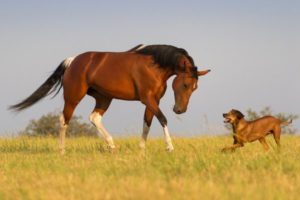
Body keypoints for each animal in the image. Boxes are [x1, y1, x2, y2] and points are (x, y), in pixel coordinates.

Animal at [9, 44, 211, 153]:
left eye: (195, 87)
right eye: (185, 85)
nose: (180, 110)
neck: (154, 66)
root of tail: (73, 61)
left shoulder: (153, 101)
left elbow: (147, 123)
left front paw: (141, 150)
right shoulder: (148, 99)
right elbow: (163, 119)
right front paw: (169, 147)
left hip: (104, 98)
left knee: (94, 118)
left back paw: (112, 146)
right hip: (73, 98)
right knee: (64, 120)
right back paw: (62, 151)